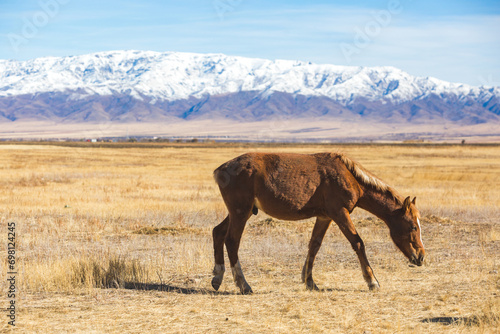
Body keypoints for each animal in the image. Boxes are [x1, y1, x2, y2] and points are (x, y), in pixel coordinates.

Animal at [211, 153, 426, 294]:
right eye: (413, 227)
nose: (421, 257)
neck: (349, 176)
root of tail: (220, 169)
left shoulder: (325, 217)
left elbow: (314, 245)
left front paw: (309, 281)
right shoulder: (340, 213)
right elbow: (357, 243)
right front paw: (372, 281)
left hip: (241, 213)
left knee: (218, 233)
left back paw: (217, 278)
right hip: (240, 213)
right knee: (232, 241)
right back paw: (243, 285)